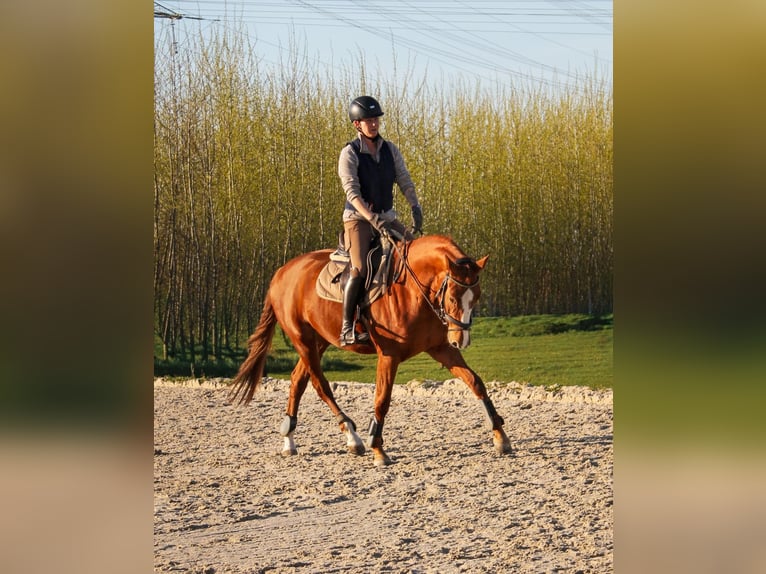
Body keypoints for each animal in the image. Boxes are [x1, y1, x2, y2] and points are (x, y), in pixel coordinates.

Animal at [227, 233, 512, 466]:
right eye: (453, 297)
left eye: (476, 296)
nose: (460, 339)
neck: (412, 289)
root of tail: (282, 273)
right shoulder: (389, 355)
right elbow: (382, 400)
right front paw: (378, 449)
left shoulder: (441, 348)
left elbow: (476, 383)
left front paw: (500, 436)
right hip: (303, 340)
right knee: (320, 384)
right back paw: (352, 437)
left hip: (319, 341)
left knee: (298, 380)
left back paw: (289, 440)